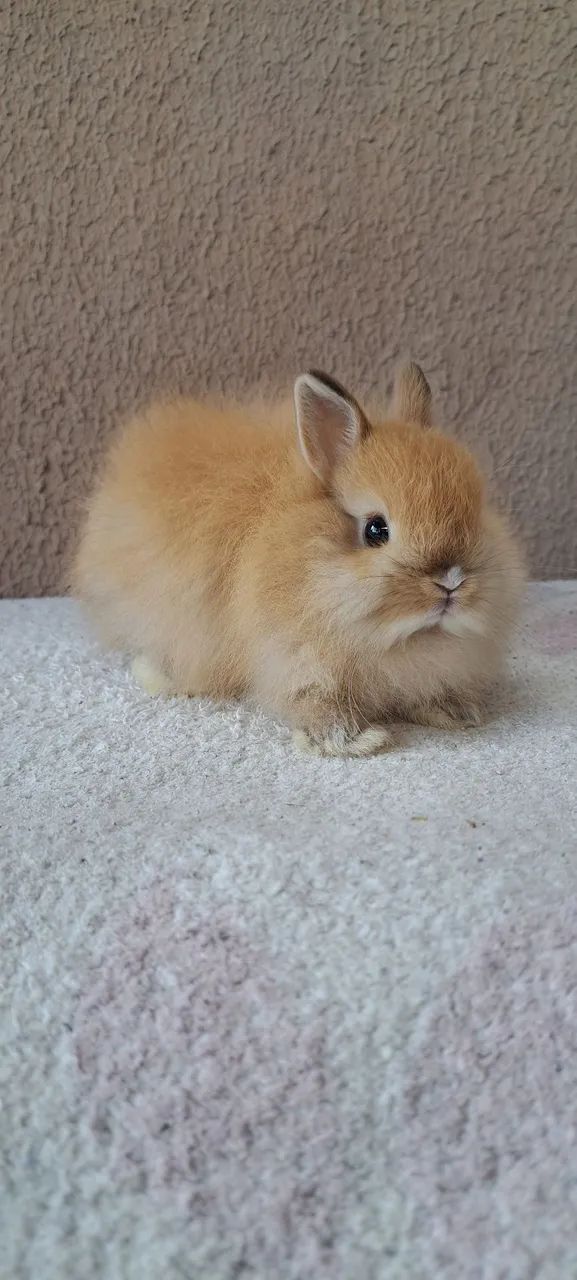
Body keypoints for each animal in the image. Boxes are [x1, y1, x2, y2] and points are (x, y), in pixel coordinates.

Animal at [73, 363, 524, 756]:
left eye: (476, 512)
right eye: (375, 530)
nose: (451, 581)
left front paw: (459, 712)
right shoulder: (295, 662)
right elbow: (317, 704)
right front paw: (354, 741)